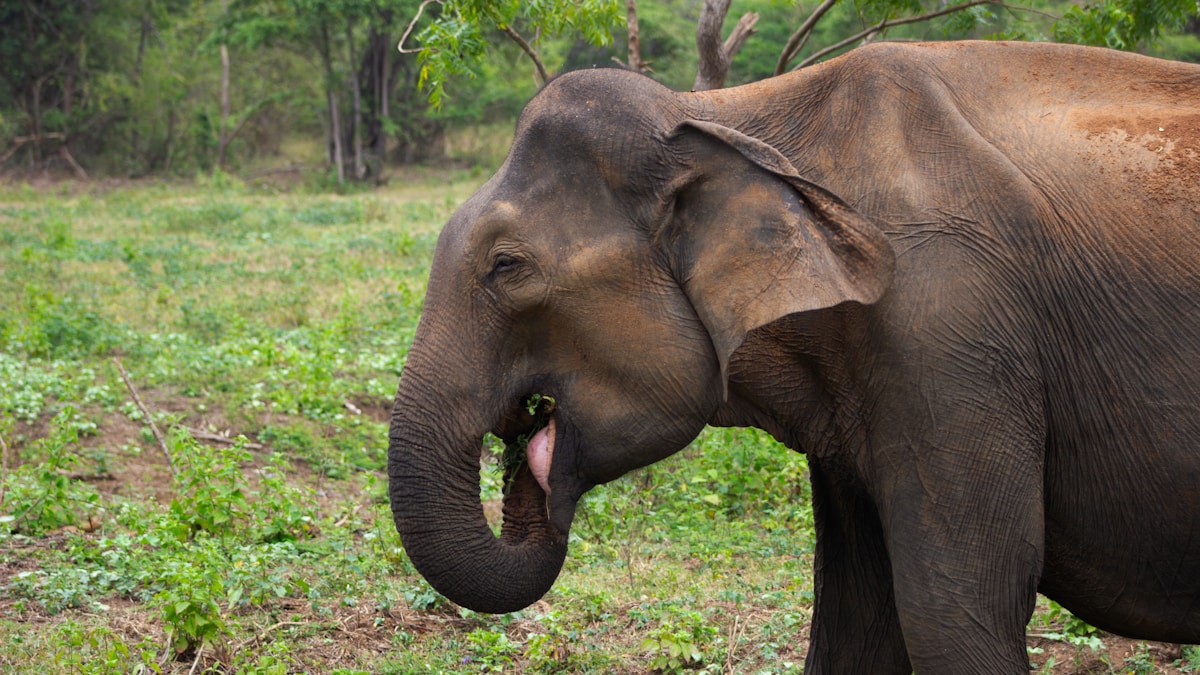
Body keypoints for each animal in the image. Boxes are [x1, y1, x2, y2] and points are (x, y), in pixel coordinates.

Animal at [387, 40, 1200, 673]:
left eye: (507, 267)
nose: (528, 433)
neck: (726, 117)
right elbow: (858, 624)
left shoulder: (951, 330)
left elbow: (957, 611)